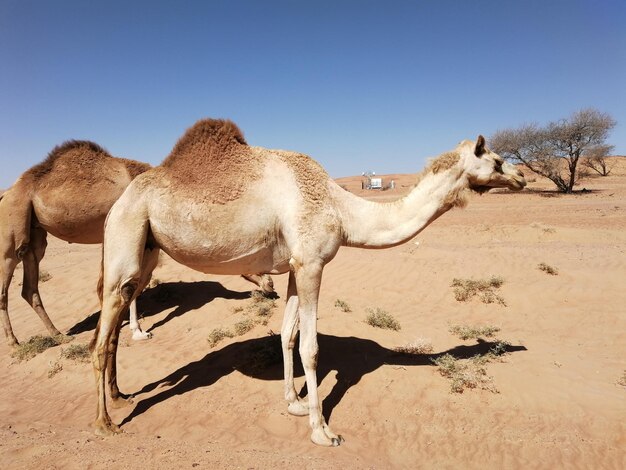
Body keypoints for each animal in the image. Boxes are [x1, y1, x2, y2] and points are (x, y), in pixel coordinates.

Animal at [0, 140, 272, 346]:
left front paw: (126, 326)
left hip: (34, 232)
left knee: (29, 283)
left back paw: (57, 334)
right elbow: (126, 283)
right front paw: (137, 331)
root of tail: (9, 191)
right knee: (7, 277)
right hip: (12, 225)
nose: (270, 285)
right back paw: (14, 342)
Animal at [91, 117, 520, 444]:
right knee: (104, 328)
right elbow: (311, 348)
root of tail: (120, 201)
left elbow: (287, 335)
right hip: (128, 230)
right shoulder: (313, 263)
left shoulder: (296, 266)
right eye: (498, 160)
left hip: (147, 248)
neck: (342, 211)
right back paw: (104, 422)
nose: (520, 177)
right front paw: (322, 430)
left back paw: (121, 396)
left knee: (114, 326)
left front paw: (293, 403)